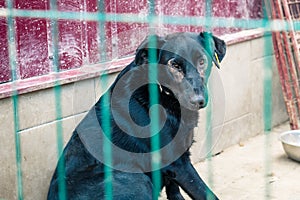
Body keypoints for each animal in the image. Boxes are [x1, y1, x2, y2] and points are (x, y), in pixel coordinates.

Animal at [47, 32, 225, 199]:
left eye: (202, 61)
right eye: (174, 65)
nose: (198, 101)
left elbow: (174, 191)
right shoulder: (179, 164)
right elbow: (205, 193)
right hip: (134, 177)